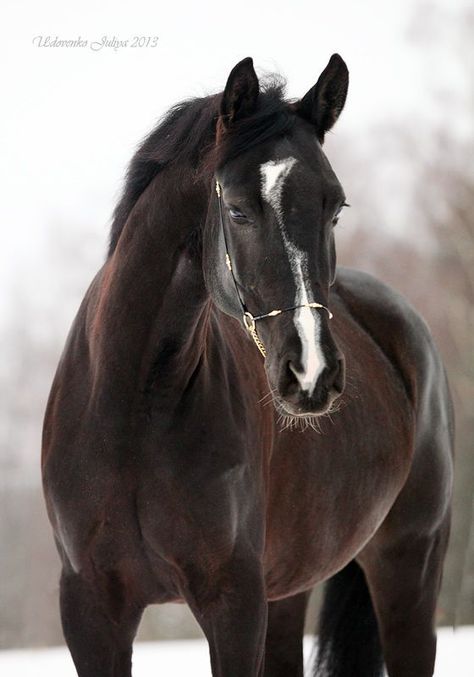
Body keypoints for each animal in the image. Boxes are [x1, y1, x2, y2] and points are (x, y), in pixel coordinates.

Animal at [42, 55, 454, 672]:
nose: (311, 373)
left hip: (409, 572)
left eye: (336, 207)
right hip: (288, 594)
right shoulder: (91, 609)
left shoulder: (233, 602)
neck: (135, 407)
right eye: (236, 210)